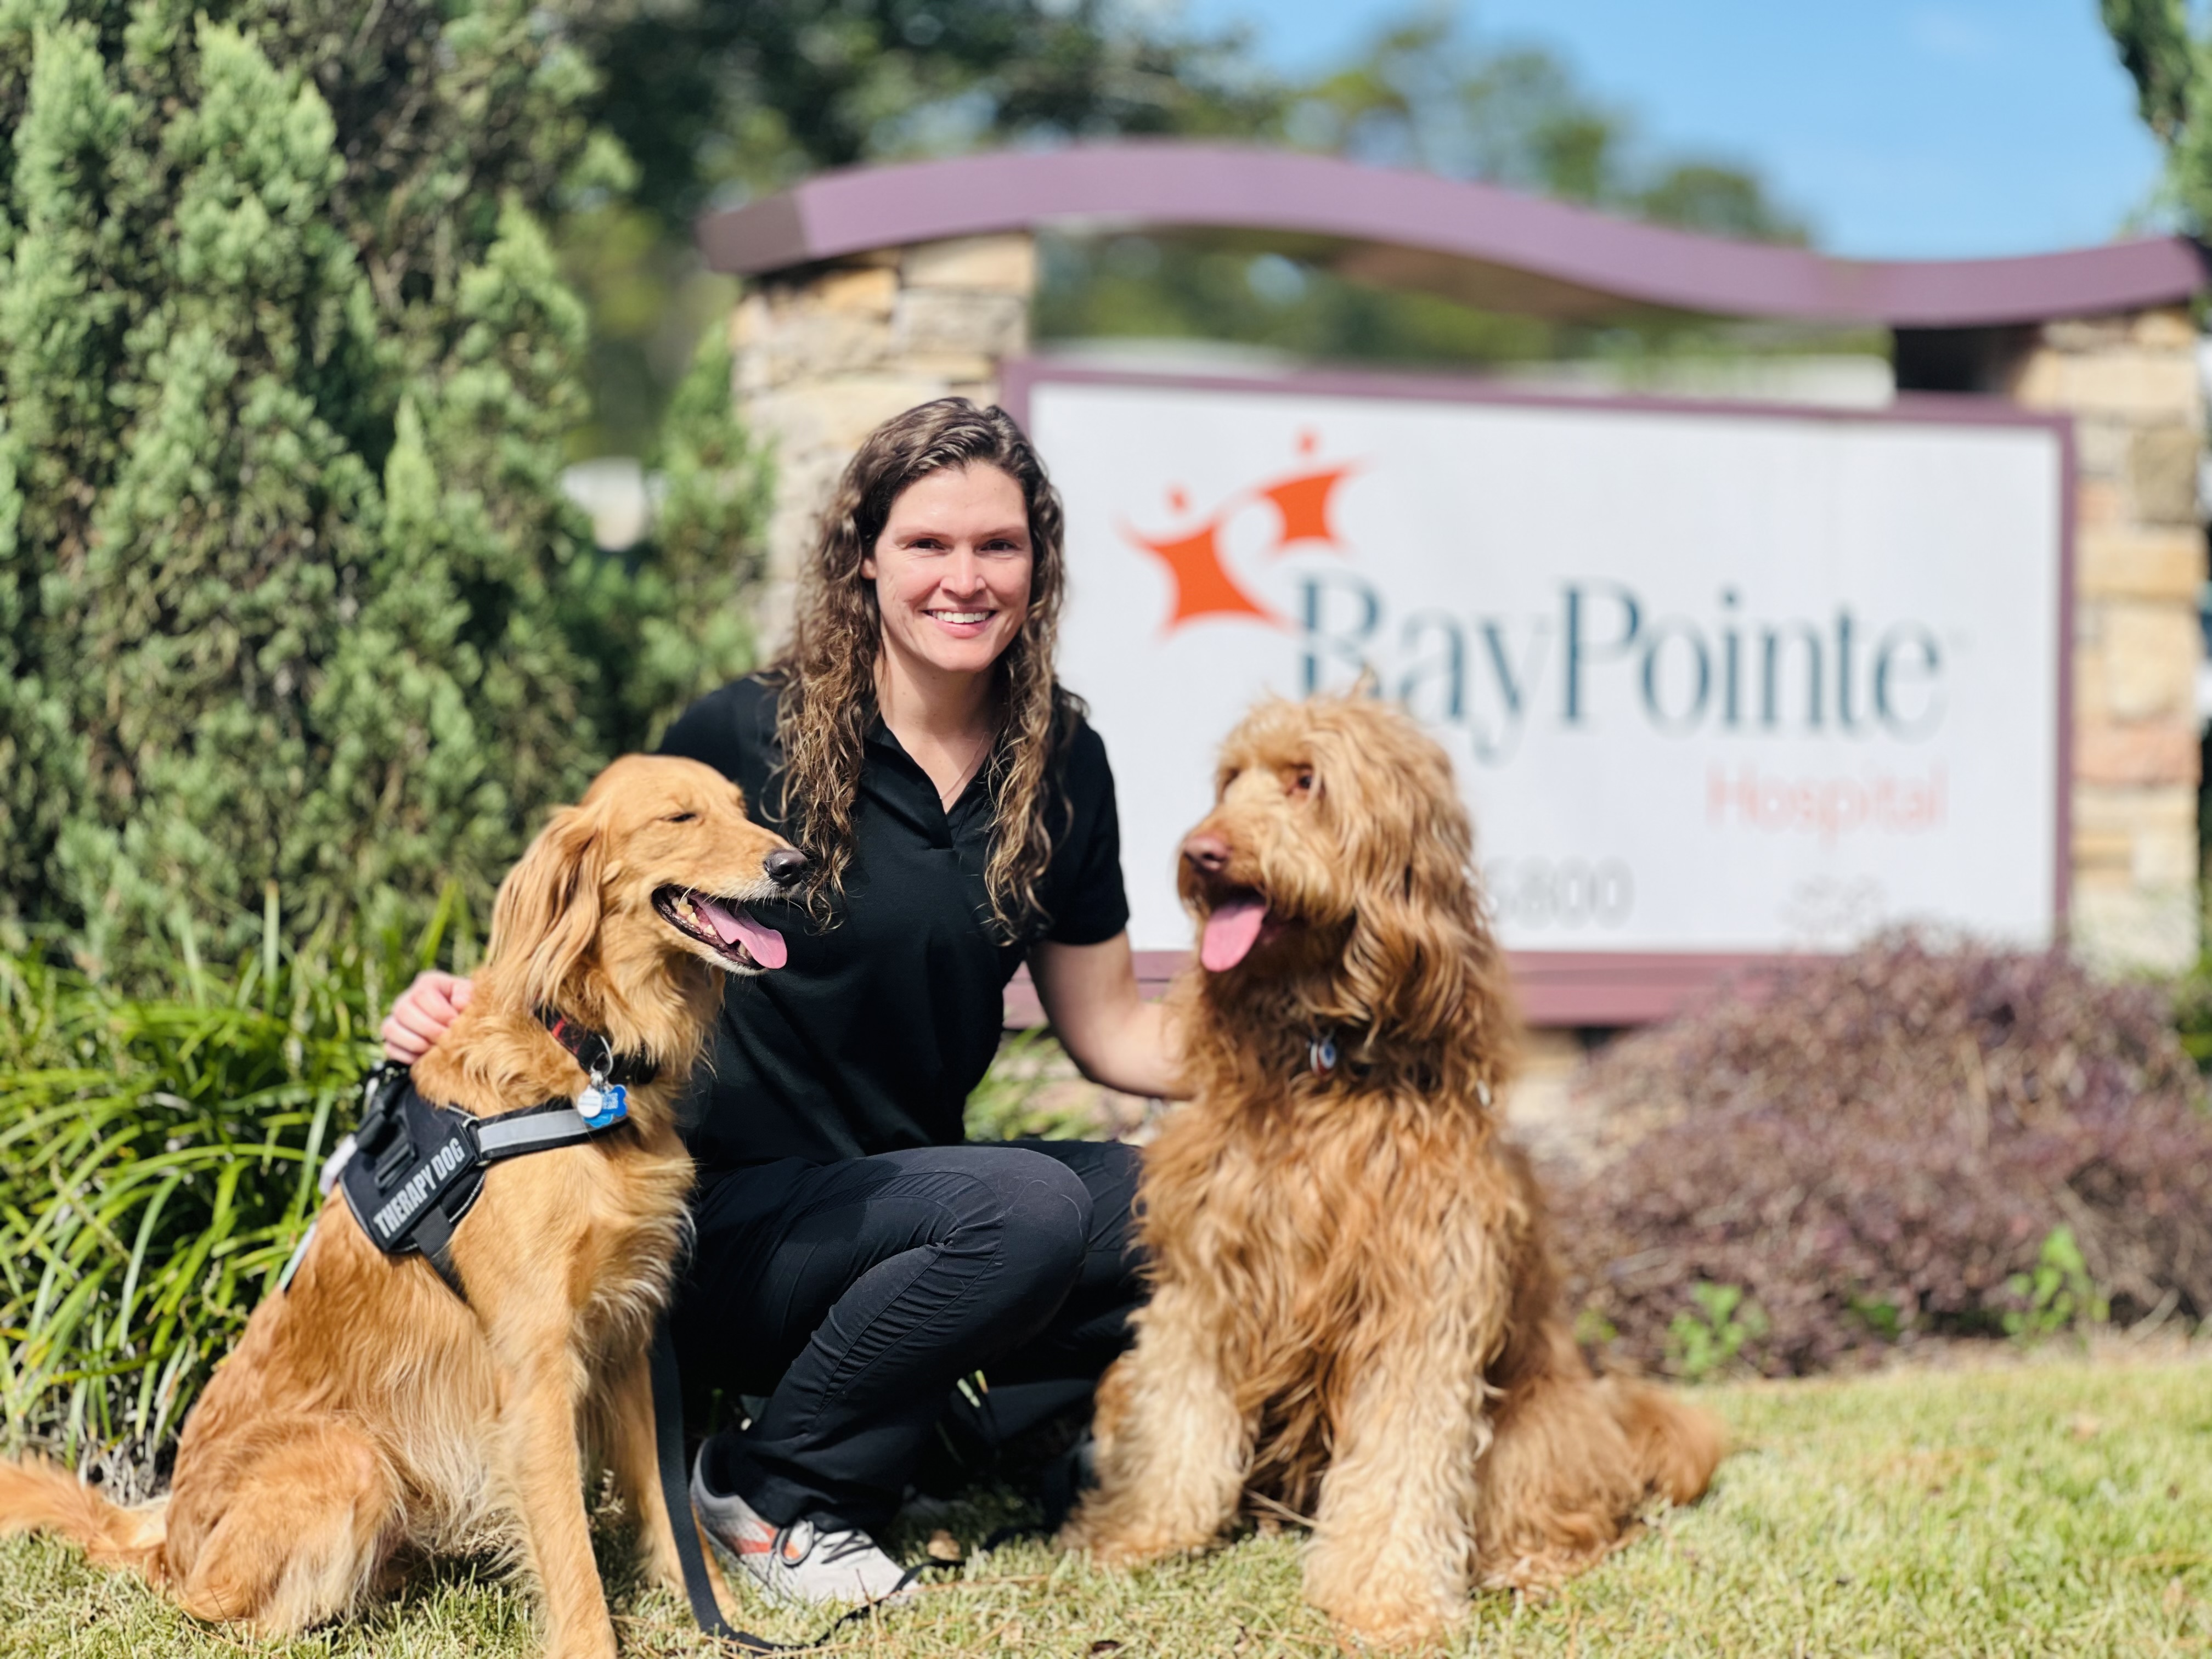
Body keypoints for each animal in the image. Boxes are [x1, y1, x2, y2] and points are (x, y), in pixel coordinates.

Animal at [0, 761, 796, 1659]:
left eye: (744, 810)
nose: (795, 866)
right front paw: (596, 1641)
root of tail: (168, 1531)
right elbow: (571, 1557)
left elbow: (668, 1511)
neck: (582, 1056)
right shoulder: (536, 1366)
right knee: (208, 1611)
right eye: (679, 817)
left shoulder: (629, 1338)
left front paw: (717, 1613)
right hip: (350, 1460)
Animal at [1062, 690, 1716, 1654]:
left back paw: (1530, 1568)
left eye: (1306, 781)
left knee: (1582, 1520)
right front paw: (1140, 1535)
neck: (1322, 1061)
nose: (1202, 853)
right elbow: (1180, 1416)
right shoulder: (1207, 1283)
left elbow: (1403, 1468)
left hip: (1537, 1429)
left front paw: (1386, 1603)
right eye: (1230, 781)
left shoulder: (1422, 1304)